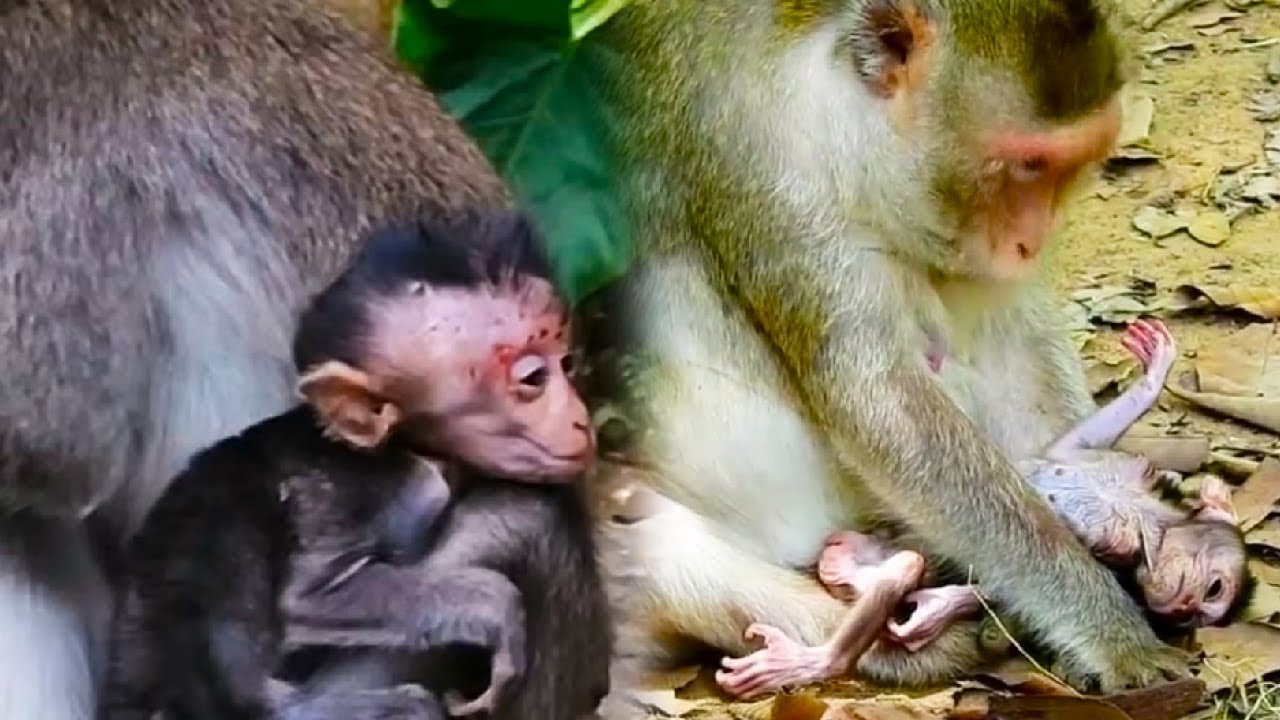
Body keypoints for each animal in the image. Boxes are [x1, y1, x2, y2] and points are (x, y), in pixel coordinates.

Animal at [99, 212, 611, 720]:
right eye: (533, 379)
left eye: (567, 363)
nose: (580, 419)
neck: (409, 447)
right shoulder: (380, 490)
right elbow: (308, 597)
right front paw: (495, 608)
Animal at [583, 0, 1190, 694]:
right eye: (1029, 165)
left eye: (1067, 167)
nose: (1032, 241)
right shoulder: (770, 176)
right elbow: (880, 407)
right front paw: (1111, 628)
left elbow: (1010, 341)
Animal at [714, 318, 1252, 697]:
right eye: (1214, 588)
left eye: (1204, 609)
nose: (1183, 608)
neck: (1148, 524)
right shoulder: (1114, 469)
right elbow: (1067, 447)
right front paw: (1154, 373)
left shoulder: (1121, 557)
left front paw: (944, 610)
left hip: (861, 567)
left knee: (901, 572)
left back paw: (822, 654)